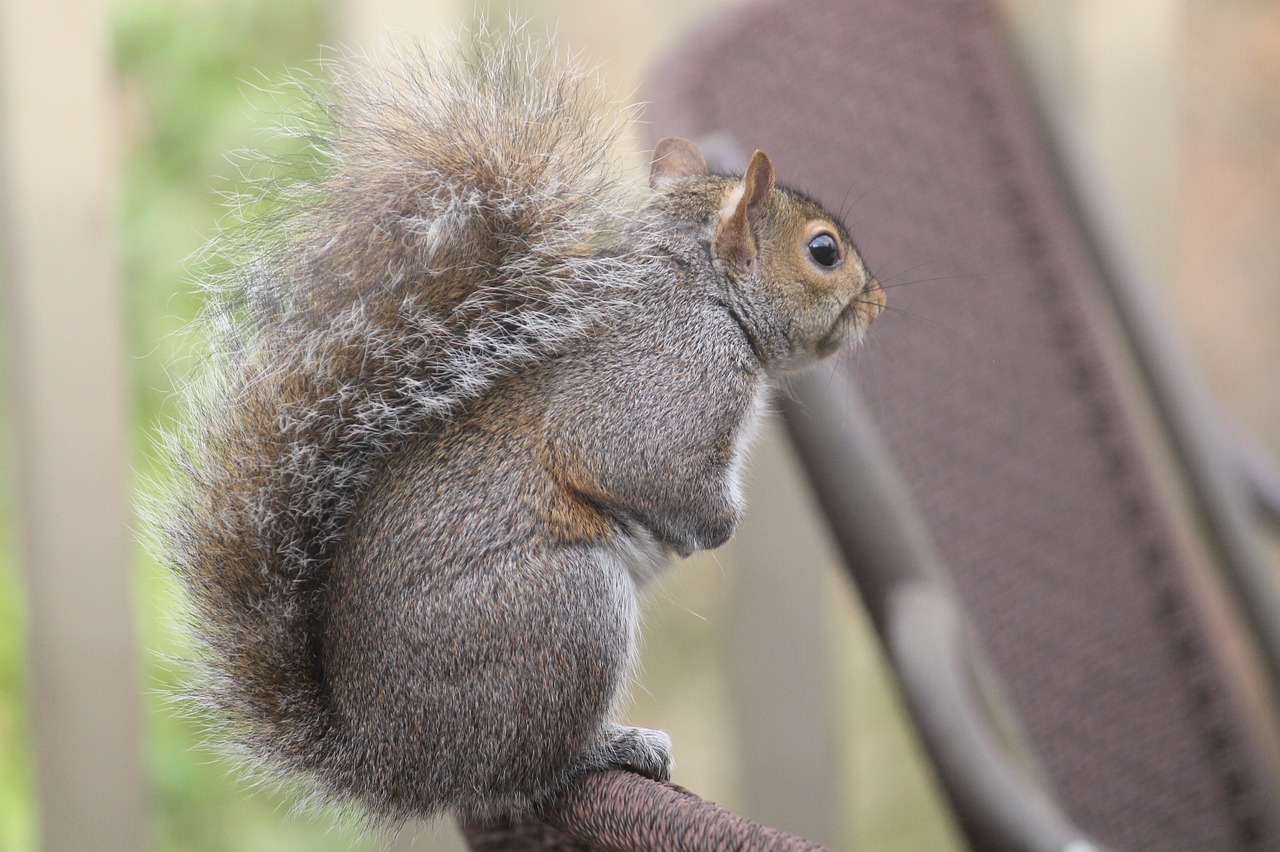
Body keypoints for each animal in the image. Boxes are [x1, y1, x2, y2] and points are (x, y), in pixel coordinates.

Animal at [154, 31, 885, 823]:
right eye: (823, 251)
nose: (878, 301)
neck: (700, 291)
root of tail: (389, 760)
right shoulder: (668, 383)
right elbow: (646, 466)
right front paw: (716, 527)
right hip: (565, 613)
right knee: (525, 769)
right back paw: (611, 746)